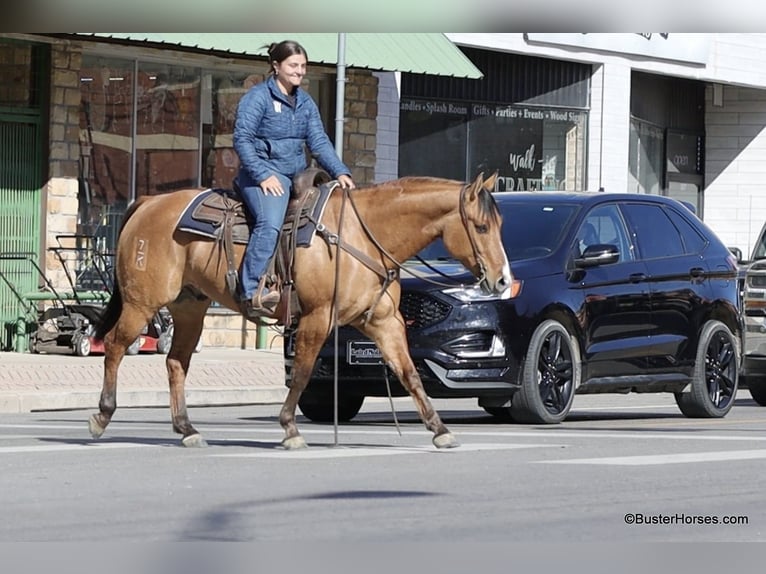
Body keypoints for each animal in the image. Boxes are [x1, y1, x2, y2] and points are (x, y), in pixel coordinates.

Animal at [90, 173, 516, 452]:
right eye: (480, 226)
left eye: (500, 225)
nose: (502, 281)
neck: (361, 236)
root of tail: (148, 202)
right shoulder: (317, 317)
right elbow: (303, 373)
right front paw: (290, 428)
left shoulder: (384, 321)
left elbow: (409, 373)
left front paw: (439, 428)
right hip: (143, 302)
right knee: (114, 346)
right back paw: (102, 416)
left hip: (190, 307)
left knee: (176, 362)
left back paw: (187, 428)